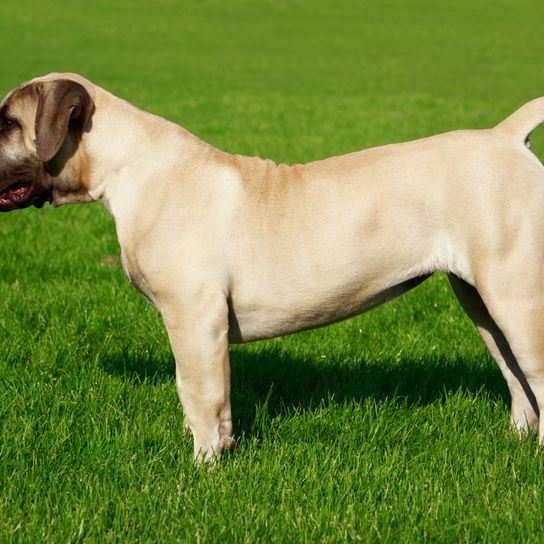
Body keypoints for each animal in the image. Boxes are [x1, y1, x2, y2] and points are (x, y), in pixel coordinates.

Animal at [1, 73, 544, 464]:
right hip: (481, 302)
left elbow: (198, 394)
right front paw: (221, 452)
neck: (130, 168)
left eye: (7, 122)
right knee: (515, 376)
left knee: (532, 369)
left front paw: (203, 467)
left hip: (515, 298)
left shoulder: (194, 320)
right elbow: (214, 401)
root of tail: (504, 138)